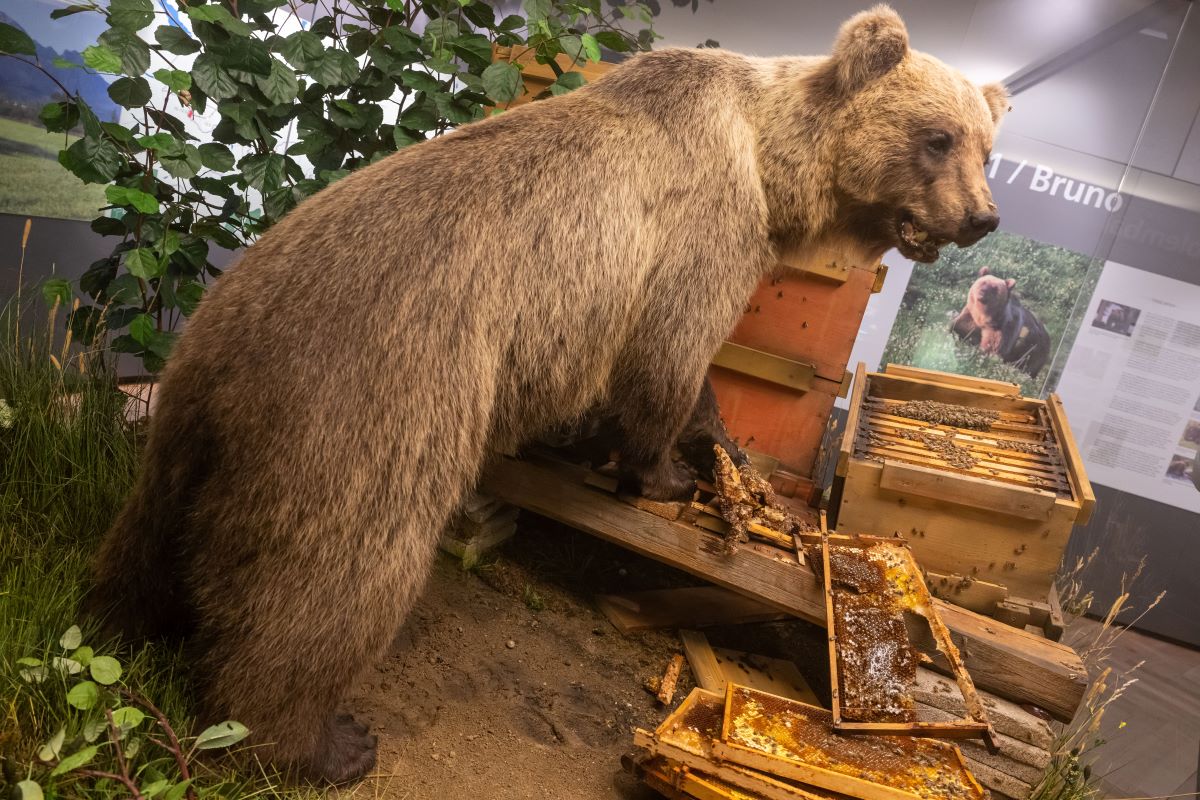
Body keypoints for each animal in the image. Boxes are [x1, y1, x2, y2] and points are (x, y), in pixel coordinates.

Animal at [87, 5, 1008, 784]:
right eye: (938, 137)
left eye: (985, 145)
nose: (983, 217)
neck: (770, 161)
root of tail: (226, 361)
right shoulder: (700, 238)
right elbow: (671, 359)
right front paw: (670, 469)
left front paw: (705, 452)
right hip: (379, 400)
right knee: (335, 573)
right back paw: (317, 740)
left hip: (197, 397)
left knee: (150, 532)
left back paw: (125, 617)